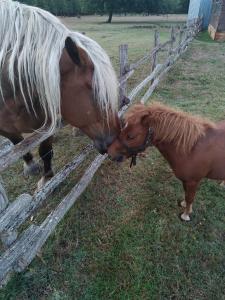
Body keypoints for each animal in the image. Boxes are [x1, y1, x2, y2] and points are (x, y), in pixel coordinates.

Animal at [0, 0, 119, 189]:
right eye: (94, 90)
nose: (116, 140)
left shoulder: (48, 123)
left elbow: (45, 151)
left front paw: (47, 179)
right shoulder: (4, 129)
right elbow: (18, 145)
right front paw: (31, 166)